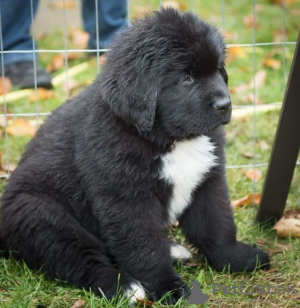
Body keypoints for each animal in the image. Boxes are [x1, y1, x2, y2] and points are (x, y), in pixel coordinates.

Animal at [0, 7, 270, 306]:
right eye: (186, 78)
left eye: (218, 70)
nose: (225, 104)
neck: (170, 140)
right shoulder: (127, 199)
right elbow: (144, 247)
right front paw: (168, 288)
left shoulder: (207, 181)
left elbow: (217, 224)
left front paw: (237, 258)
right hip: (42, 215)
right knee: (80, 259)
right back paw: (123, 287)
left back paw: (173, 250)